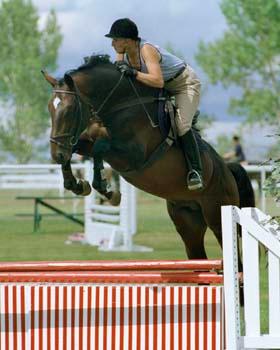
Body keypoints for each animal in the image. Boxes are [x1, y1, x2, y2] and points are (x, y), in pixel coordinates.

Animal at [42, 54, 256, 262]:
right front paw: (78, 184)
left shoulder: (133, 156)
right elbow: (80, 147)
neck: (118, 105)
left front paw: (107, 190)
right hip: (187, 222)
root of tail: (226, 169)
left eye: (70, 110)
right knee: (197, 253)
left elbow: (100, 148)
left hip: (218, 214)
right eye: (50, 109)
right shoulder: (88, 141)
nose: (56, 155)